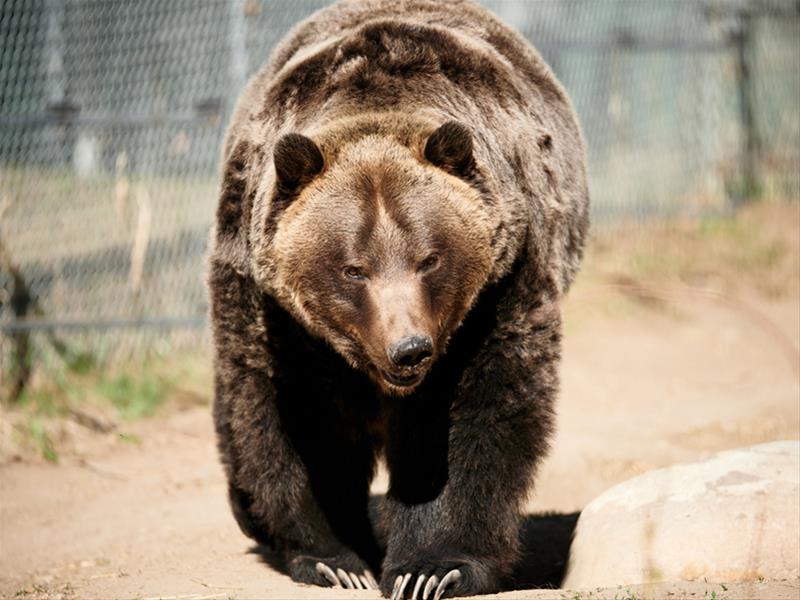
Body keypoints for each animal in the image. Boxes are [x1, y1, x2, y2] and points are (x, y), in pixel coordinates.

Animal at [211, 0, 588, 596]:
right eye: (353, 269)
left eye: (428, 258)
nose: (409, 349)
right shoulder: (274, 309)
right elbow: (295, 416)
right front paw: (334, 558)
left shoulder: (501, 284)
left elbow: (471, 417)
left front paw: (433, 567)